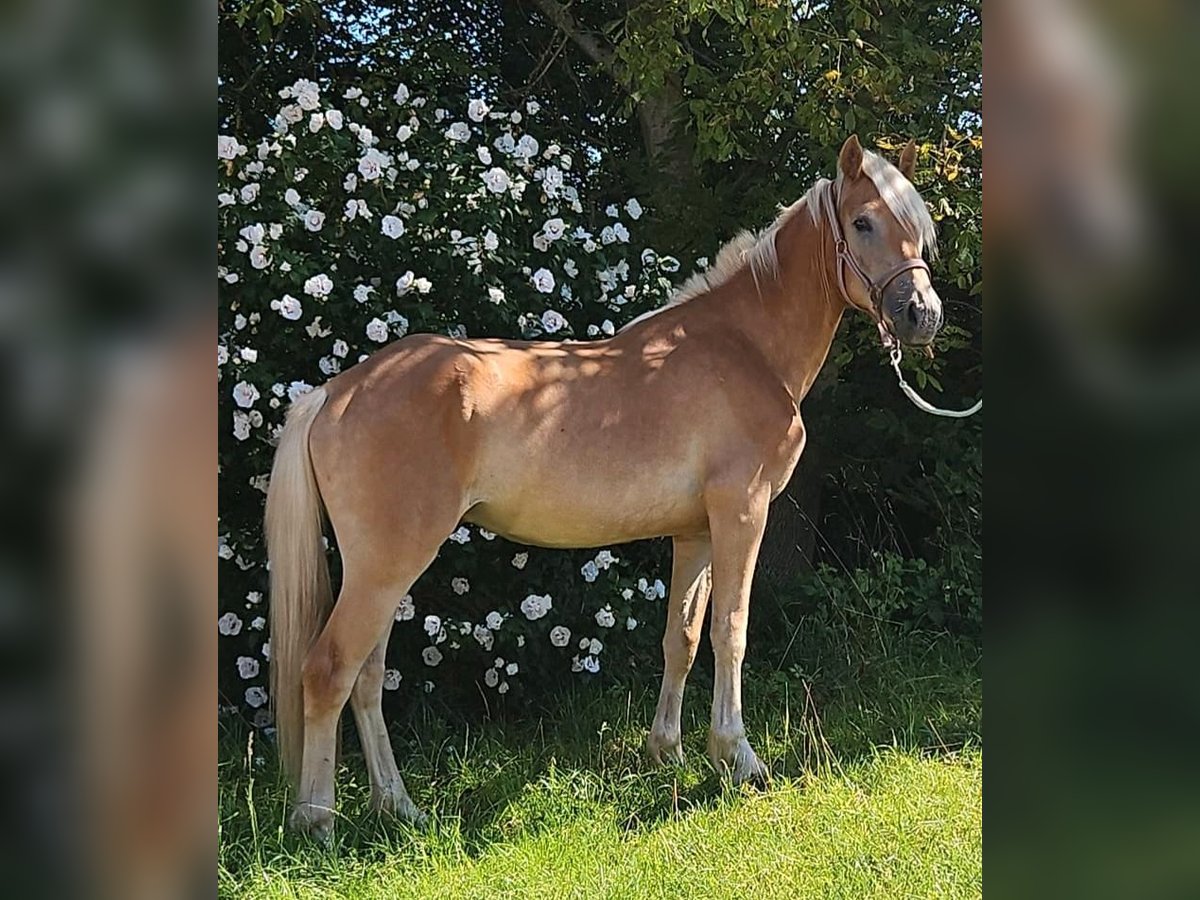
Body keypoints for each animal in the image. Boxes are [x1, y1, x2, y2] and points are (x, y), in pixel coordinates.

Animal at [267, 135, 940, 844]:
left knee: (367, 679)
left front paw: (668, 752)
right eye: (863, 223)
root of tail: (335, 392)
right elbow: (730, 631)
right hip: (386, 565)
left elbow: (683, 637)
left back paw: (399, 806)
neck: (745, 347)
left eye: (918, 229)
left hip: (385, 569)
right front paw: (738, 758)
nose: (922, 316)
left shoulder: (695, 532)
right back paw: (317, 821)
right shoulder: (742, 514)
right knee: (329, 671)